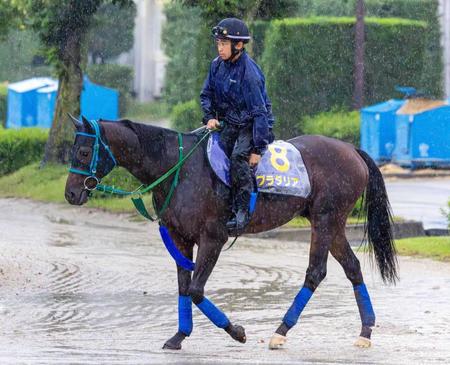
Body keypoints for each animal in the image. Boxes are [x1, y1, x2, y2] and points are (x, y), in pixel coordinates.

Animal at [64, 116, 398, 350]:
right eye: (72, 150)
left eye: (84, 151)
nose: (70, 193)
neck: (178, 168)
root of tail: (351, 149)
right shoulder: (180, 238)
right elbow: (184, 288)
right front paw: (179, 335)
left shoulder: (212, 239)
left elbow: (196, 290)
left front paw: (236, 331)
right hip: (334, 224)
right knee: (352, 268)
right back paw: (366, 331)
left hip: (325, 219)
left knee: (315, 272)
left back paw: (280, 331)